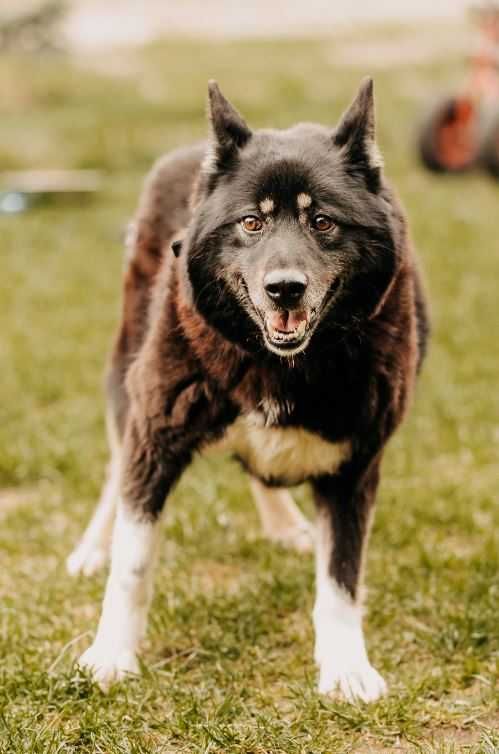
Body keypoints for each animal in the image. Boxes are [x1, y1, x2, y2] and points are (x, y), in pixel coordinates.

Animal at [67, 79, 430, 704]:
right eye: (252, 224)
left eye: (323, 222)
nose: (284, 288)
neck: (277, 363)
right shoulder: (155, 431)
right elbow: (132, 563)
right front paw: (111, 655)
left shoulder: (356, 465)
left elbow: (342, 578)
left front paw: (346, 667)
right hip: (126, 378)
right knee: (116, 473)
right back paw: (93, 546)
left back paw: (284, 525)